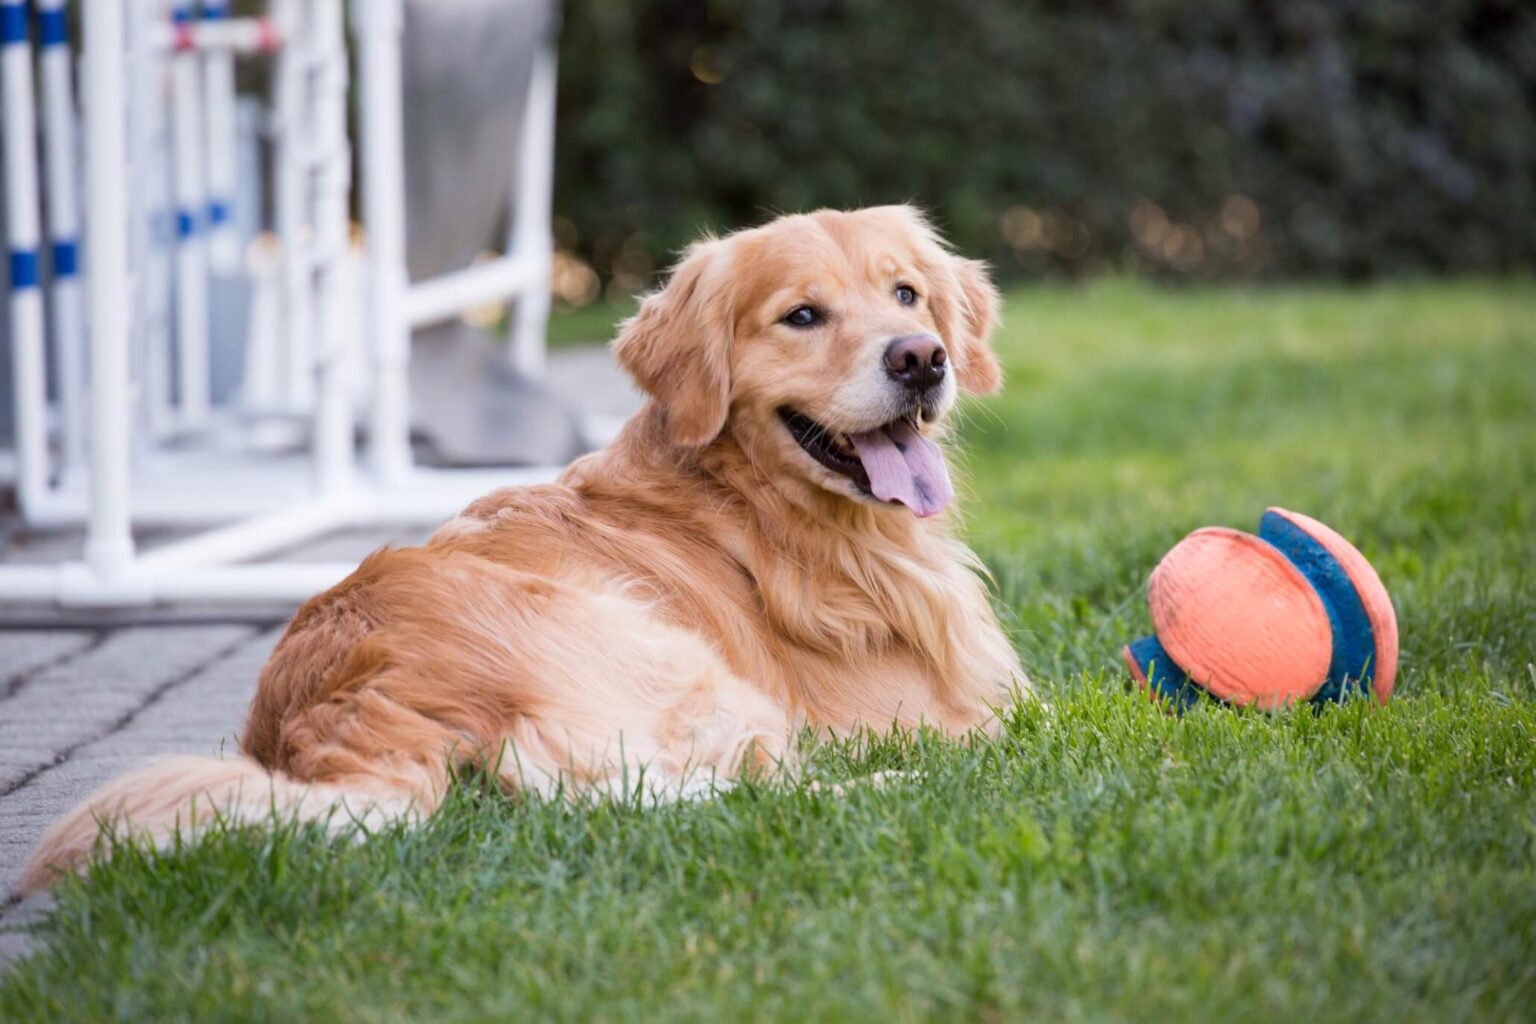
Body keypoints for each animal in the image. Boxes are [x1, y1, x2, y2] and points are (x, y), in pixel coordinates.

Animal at [21, 204, 1019, 890]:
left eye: (906, 293)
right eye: (802, 316)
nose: (922, 357)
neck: (754, 503)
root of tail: (349, 703)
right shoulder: (948, 711)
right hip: (684, 669)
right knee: (684, 799)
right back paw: (896, 787)